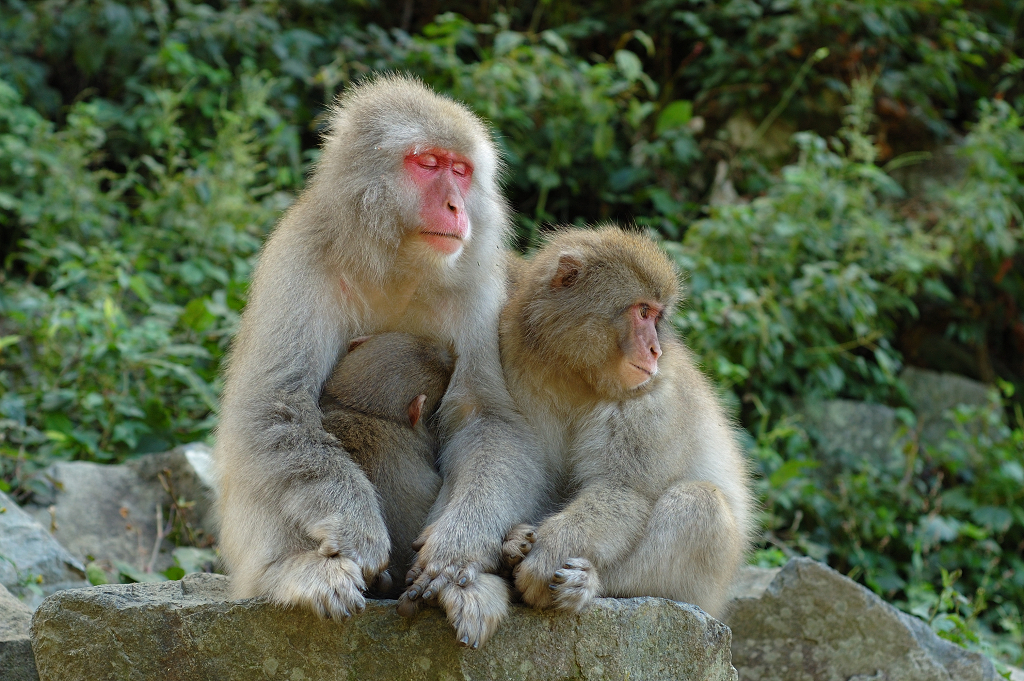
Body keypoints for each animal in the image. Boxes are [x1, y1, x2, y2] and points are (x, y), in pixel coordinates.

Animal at [495, 227, 753, 614]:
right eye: (643, 312)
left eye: (656, 318)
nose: (656, 350)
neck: (578, 377)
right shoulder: (516, 370)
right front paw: (517, 542)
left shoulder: (652, 402)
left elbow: (623, 490)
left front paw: (548, 554)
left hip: (705, 590)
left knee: (700, 503)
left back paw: (590, 584)